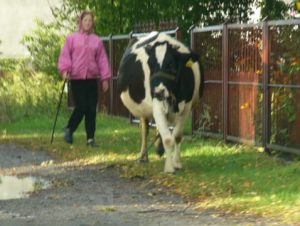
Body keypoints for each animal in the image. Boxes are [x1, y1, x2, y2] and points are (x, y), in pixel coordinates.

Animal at [117, 31, 204, 173]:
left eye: (171, 65)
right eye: (150, 65)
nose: (158, 91)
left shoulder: (186, 107)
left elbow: (177, 136)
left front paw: (176, 163)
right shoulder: (156, 105)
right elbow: (168, 139)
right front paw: (169, 168)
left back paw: (158, 148)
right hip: (144, 110)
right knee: (144, 129)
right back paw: (143, 155)